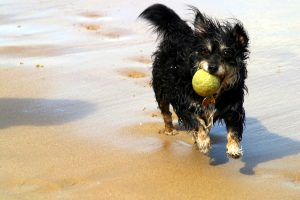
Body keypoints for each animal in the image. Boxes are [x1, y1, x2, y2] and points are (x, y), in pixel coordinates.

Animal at [139, 3, 250, 159]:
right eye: (205, 51)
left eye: (227, 52)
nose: (212, 67)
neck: (215, 95)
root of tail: (180, 34)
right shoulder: (186, 105)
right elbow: (197, 123)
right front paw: (203, 141)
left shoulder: (234, 109)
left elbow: (233, 130)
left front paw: (234, 148)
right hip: (161, 89)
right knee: (166, 113)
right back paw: (170, 130)